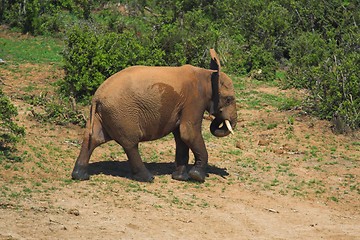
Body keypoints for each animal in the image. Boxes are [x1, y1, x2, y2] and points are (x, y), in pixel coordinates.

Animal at [71, 49, 238, 183]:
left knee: (93, 138)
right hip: (122, 113)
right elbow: (188, 133)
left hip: (103, 113)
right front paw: (197, 177)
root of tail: (97, 96)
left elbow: (181, 137)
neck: (208, 75)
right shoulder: (194, 100)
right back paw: (147, 178)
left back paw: (79, 176)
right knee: (130, 143)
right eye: (229, 99)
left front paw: (181, 178)